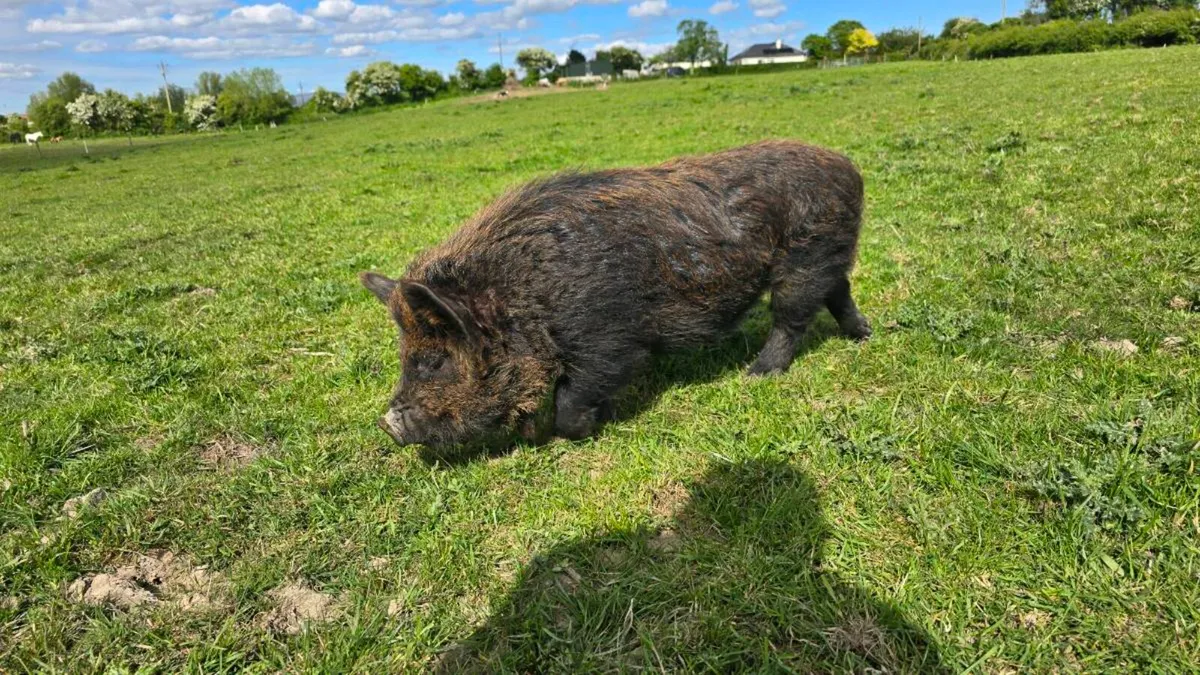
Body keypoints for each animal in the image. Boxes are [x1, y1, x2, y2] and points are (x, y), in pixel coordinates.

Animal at [361, 140, 871, 448]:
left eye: (435, 360)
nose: (388, 423)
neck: (522, 297)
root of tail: (847, 165)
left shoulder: (608, 338)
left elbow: (572, 400)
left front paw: (585, 429)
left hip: (805, 257)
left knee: (791, 317)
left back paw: (757, 375)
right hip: (829, 253)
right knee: (839, 290)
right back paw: (863, 334)